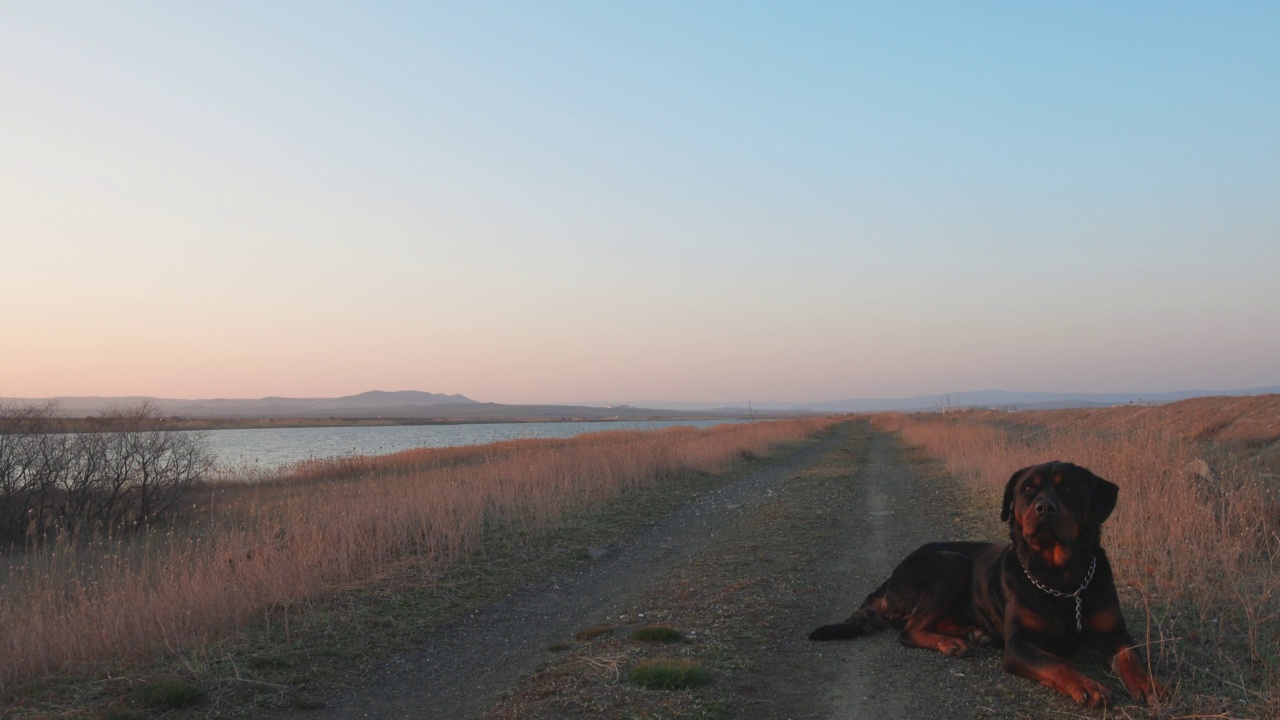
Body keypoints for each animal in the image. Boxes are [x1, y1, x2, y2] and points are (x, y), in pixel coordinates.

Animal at [814, 458, 1167, 707]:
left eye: (1068, 489)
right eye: (1027, 490)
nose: (1044, 507)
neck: (1061, 579)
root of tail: (890, 576)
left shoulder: (1115, 633)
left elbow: (1131, 657)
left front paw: (1148, 684)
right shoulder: (1020, 645)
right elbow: (1056, 663)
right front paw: (1087, 685)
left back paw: (972, 633)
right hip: (951, 562)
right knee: (908, 629)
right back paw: (951, 643)